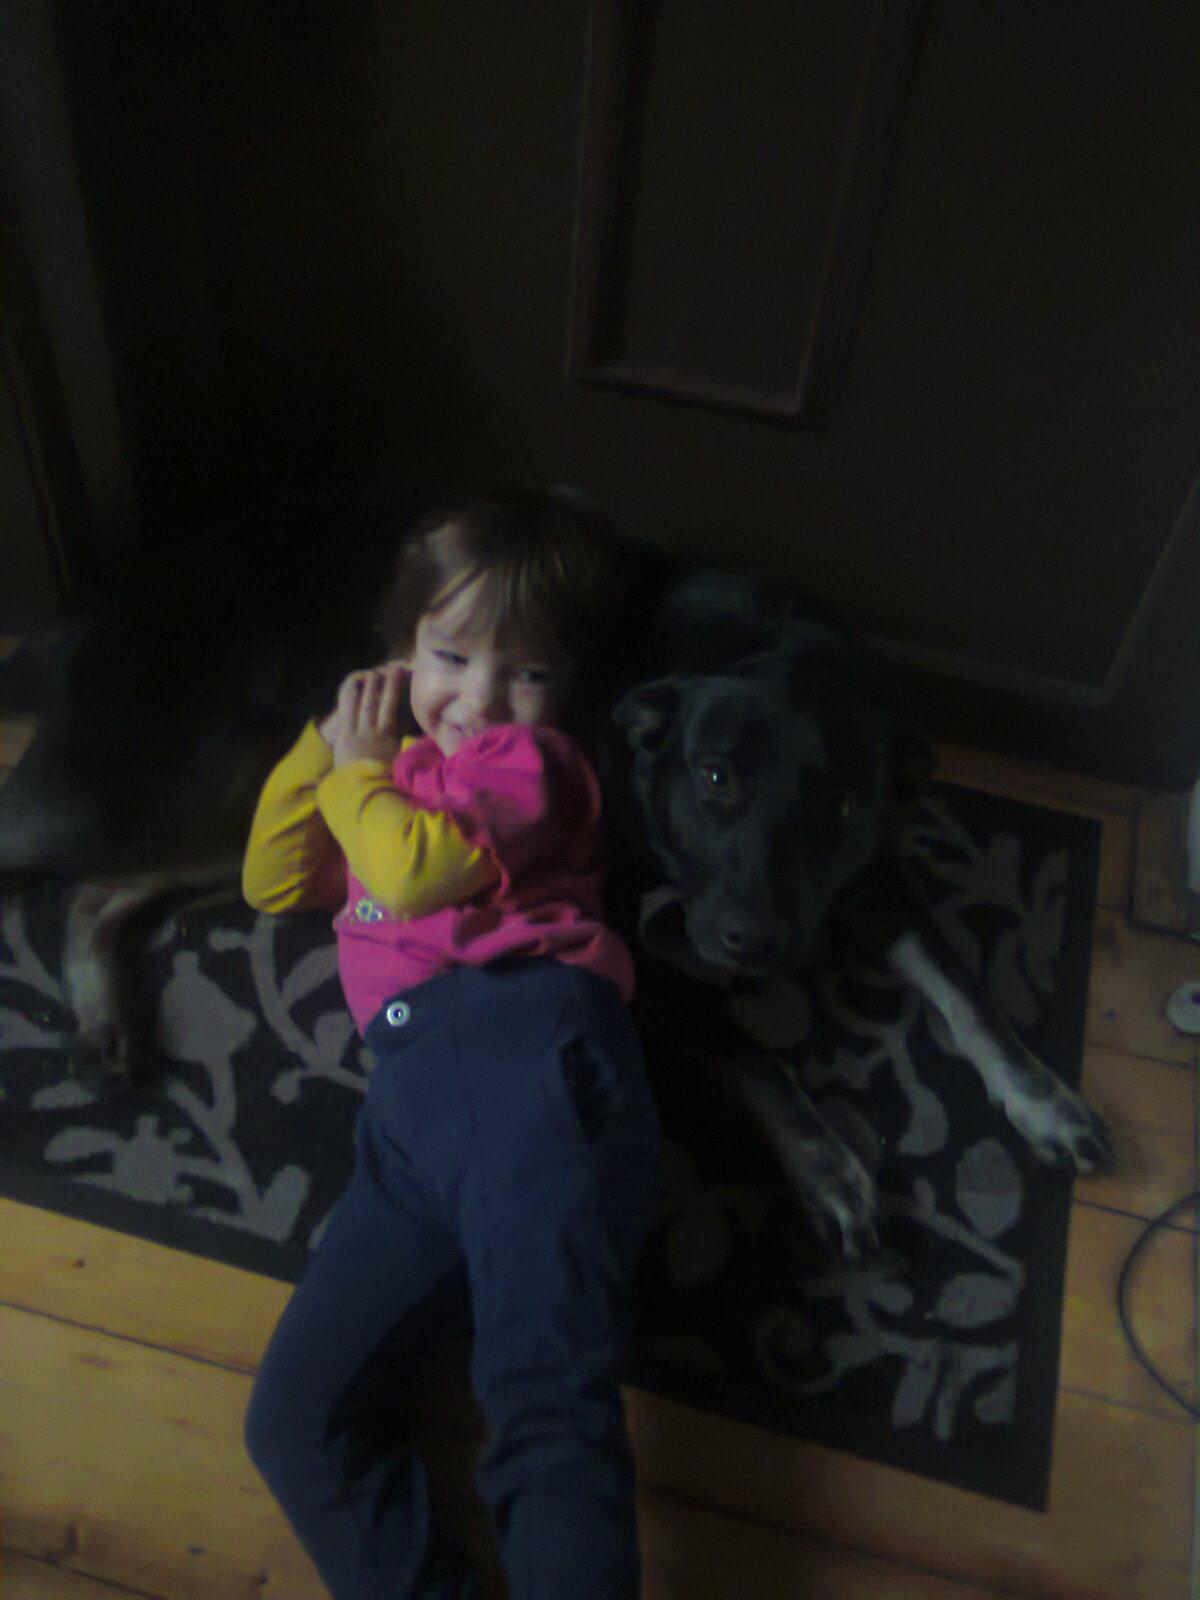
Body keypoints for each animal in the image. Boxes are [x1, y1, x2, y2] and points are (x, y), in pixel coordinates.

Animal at [602, 568, 1114, 1259]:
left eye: (842, 808)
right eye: (715, 778)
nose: (752, 942)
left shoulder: (877, 879)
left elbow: (969, 993)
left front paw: (1044, 1101)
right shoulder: (631, 947)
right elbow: (756, 1059)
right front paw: (829, 1173)